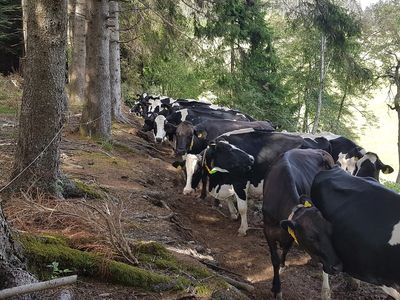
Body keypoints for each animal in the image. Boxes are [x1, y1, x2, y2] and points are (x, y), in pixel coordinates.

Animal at [260, 148, 336, 300]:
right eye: (311, 237)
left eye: (331, 231)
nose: (337, 265)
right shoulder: (268, 229)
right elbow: (275, 259)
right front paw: (276, 287)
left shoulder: (289, 233)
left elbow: (285, 248)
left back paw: (325, 290)